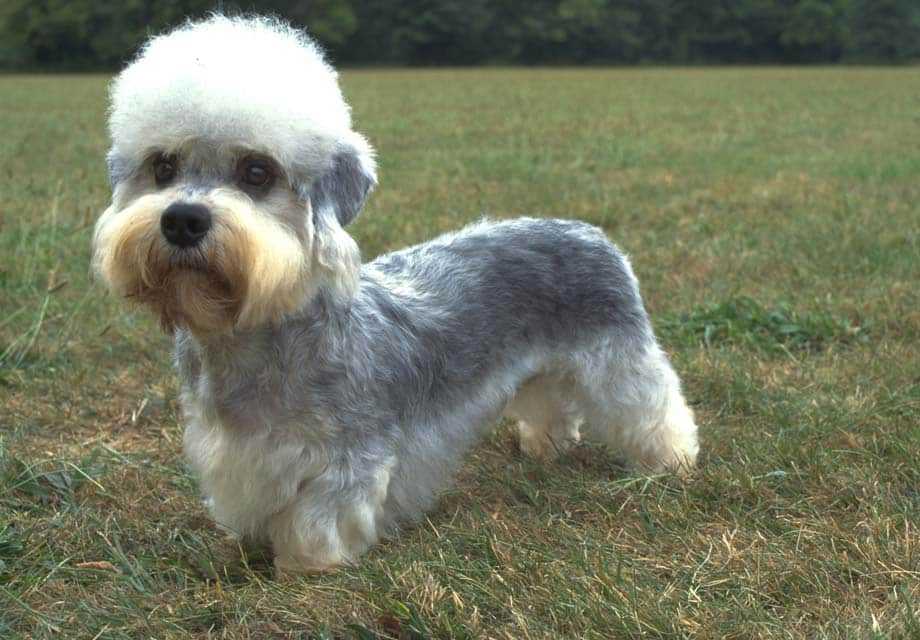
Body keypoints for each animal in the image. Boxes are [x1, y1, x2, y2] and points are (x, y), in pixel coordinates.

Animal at [91, 16, 696, 576]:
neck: (261, 333)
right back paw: (545, 446)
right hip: (544, 368)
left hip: (619, 362)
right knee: (552, 402)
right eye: (163, 166)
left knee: (656, 408)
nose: (182, 220)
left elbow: (318, 521)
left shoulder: (347, 459)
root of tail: (588, 231)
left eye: (257, 172)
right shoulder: (237, 455)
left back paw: (674, 461)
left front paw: (306, 568)